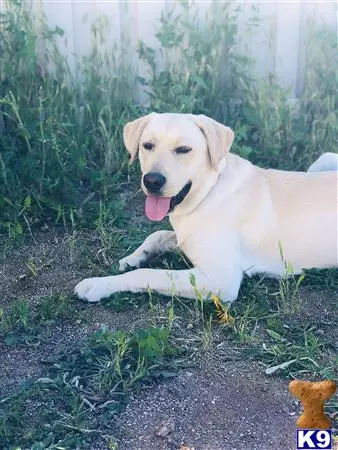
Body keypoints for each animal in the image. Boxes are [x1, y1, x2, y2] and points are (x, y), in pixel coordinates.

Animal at [74, 112, 338, 304]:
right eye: (147, 145)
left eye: (183, 149)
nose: (152, 181)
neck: (209, 192)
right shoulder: (185, 239)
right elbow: (156, 235)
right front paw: (134, 257)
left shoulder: (221, 279)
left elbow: (147, 273)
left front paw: (100, 283)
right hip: (324, 159)